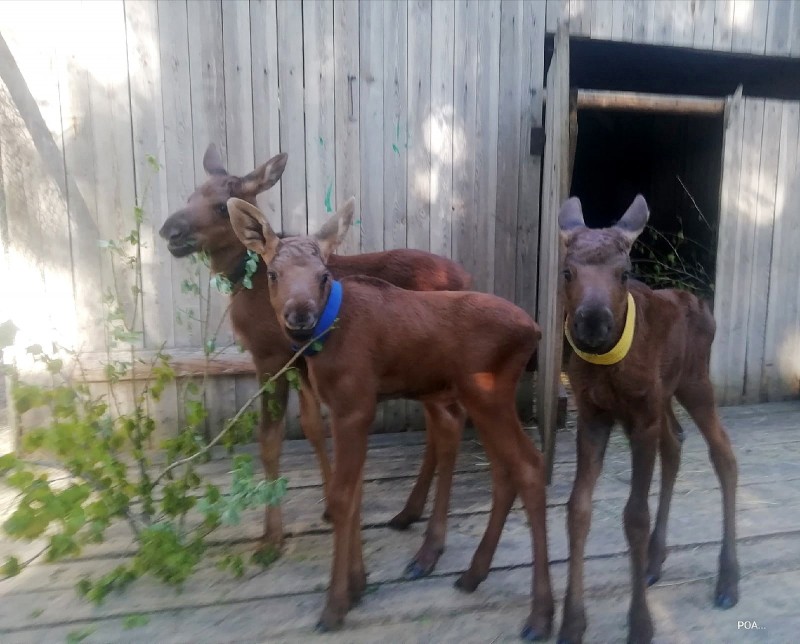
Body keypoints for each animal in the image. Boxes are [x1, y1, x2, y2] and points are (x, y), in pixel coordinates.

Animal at [159, 145, 472, 572]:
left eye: (223, 205)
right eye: (191, 195)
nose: (170, 231)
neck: (249, 287)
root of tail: (469, 279)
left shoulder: (271, 358)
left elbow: (270, 441)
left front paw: (271, 538)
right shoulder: (300, 364)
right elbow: (311, 428)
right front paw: (327, 505)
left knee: (447, 427)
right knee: (437, 430)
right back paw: (410, 512)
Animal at [225, 196, 552, 640]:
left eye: (324, 275)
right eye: (273, 274)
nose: (299, 315)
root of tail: (534, 331)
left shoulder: (355, 406)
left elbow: (343, 497)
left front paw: (336, 604)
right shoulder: (349, 409)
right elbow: (355, 494)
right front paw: (357, 584)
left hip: (487, 396)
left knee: (530, 467)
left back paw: (541, 615)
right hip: (484, 402)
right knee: (506, 471)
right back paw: (474, 573)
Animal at [556, 196, 736, 644]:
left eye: (624, 273)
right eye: (567, 271)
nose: (592, 321)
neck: (607, 368)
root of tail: (701, 304)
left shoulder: (641, 419)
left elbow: (634, 516)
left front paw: (640, 624)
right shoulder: (594, 416)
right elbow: (577, 509)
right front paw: (571, 623)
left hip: (695, 383)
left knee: (723, 454)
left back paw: (728, 579)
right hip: (666, 395)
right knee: (675, 443)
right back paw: (656, 560)